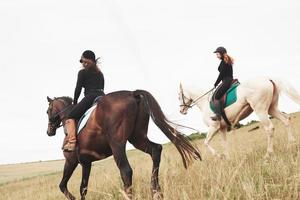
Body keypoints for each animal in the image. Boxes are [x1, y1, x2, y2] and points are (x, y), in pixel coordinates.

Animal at [46, 90, 202, 199]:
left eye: (47, 111)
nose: (49, 132)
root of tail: (132, 94)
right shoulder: (86, 162)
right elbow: (82, 188)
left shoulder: (72, 161)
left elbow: (65, 186)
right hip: (138, 138)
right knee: (156, 150)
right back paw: (156, 191)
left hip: (118, 145)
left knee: (126, 171)